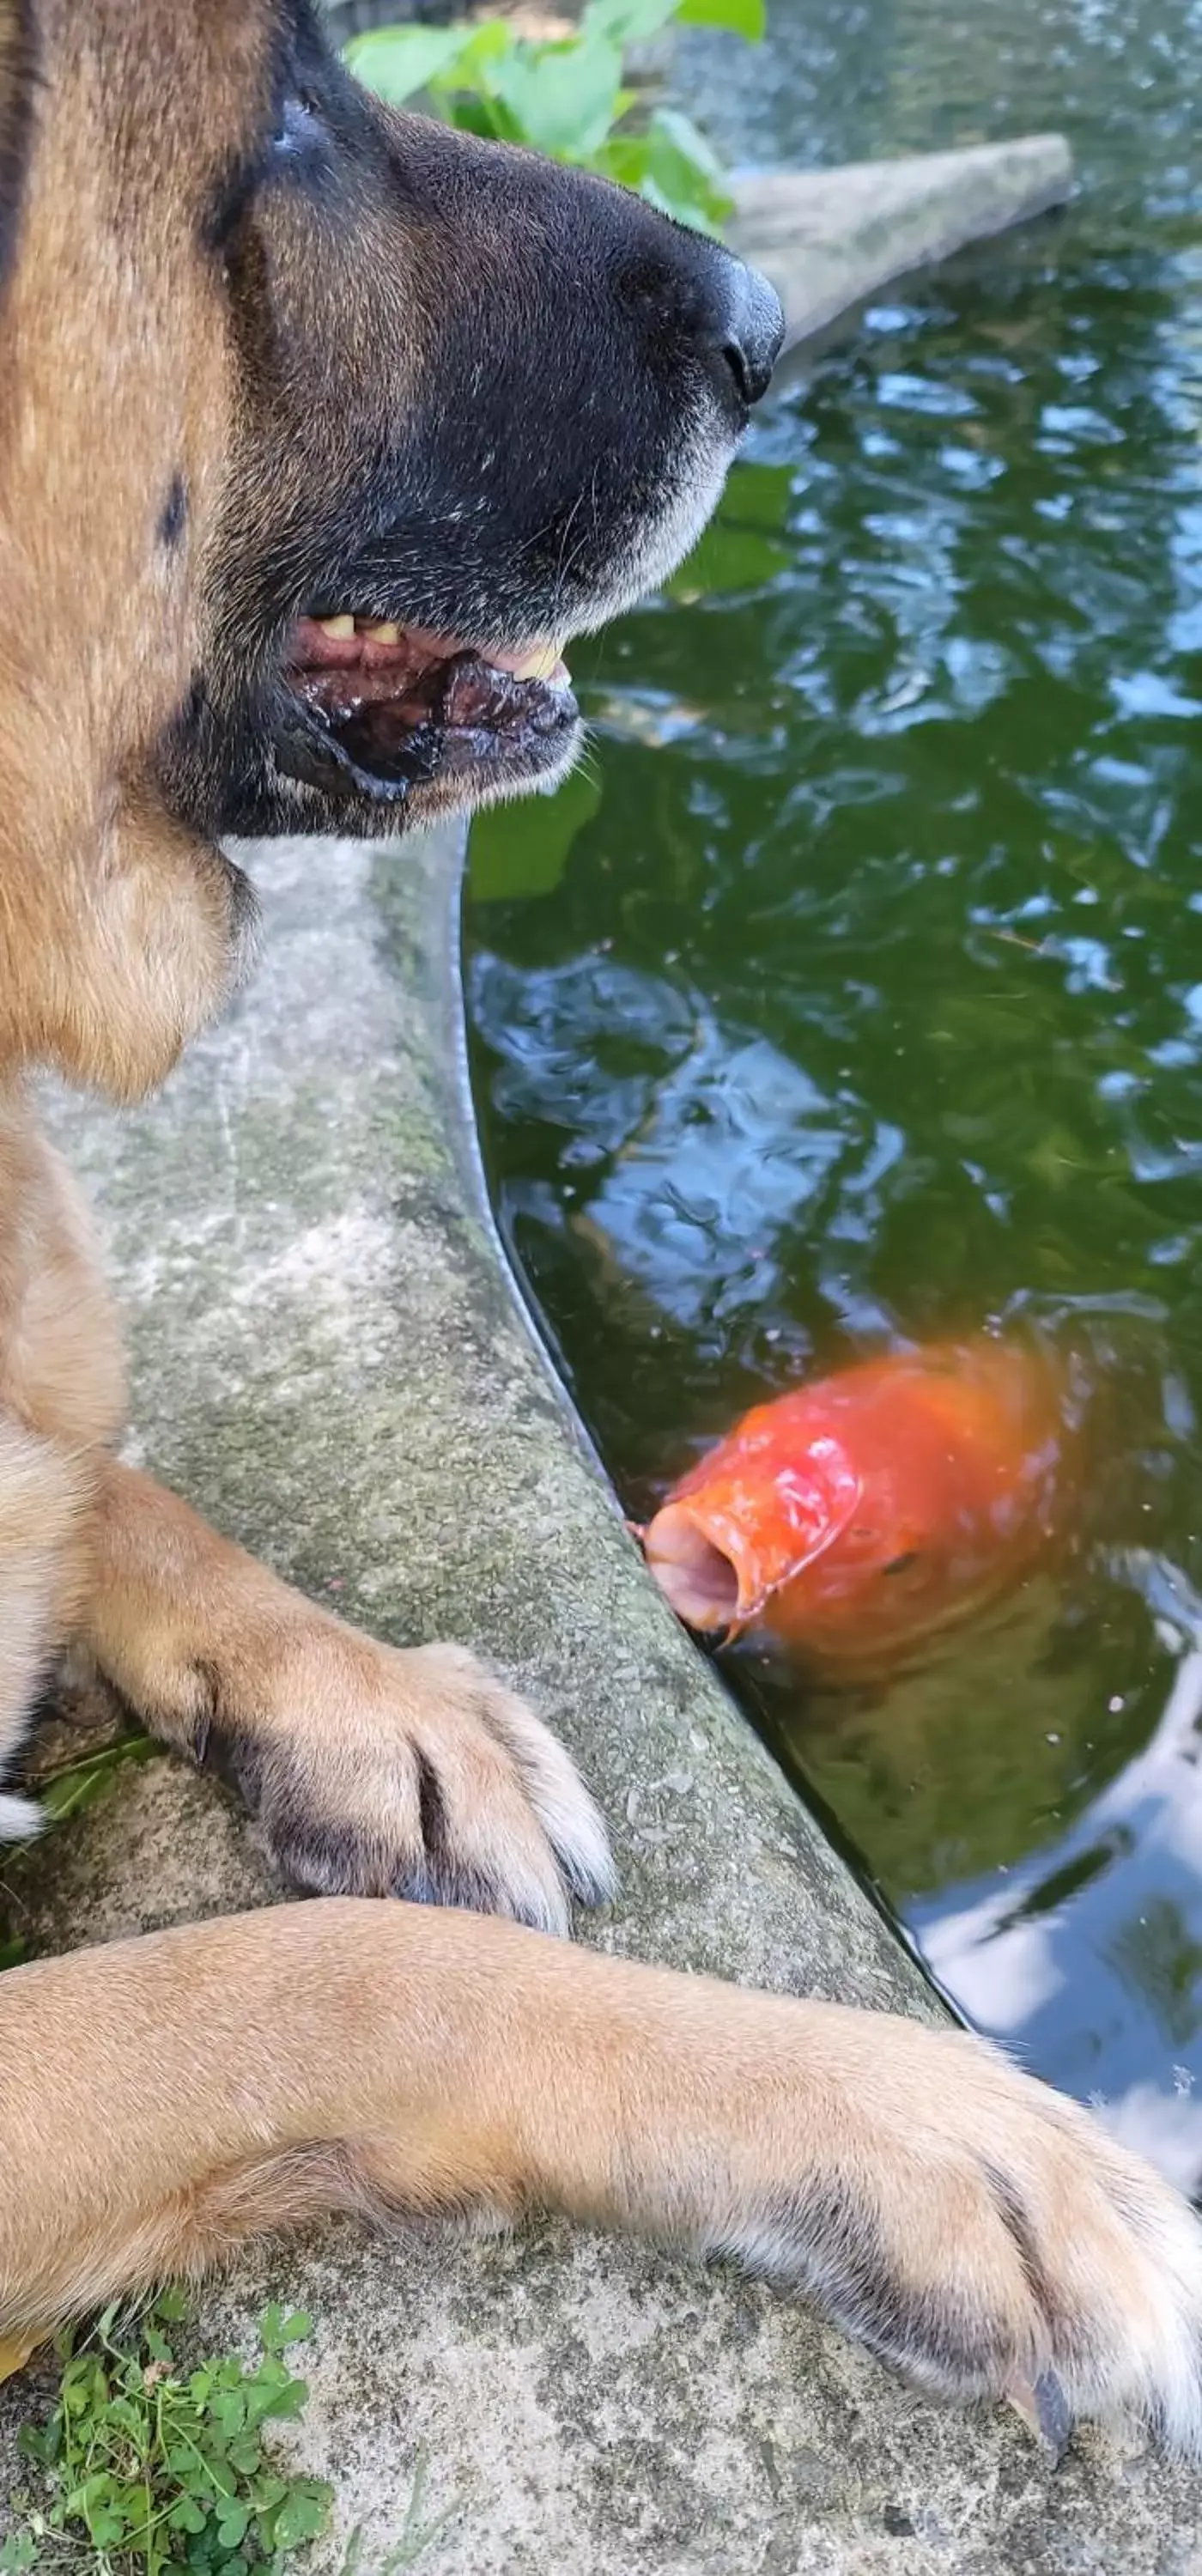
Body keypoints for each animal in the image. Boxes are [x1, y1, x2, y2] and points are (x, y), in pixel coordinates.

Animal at [0, 0, 1199, 2452]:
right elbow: (336, 1977)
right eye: (280, 117)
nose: (764, 319)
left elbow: (131, 1488)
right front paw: (926, 2134)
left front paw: (368, 1701)